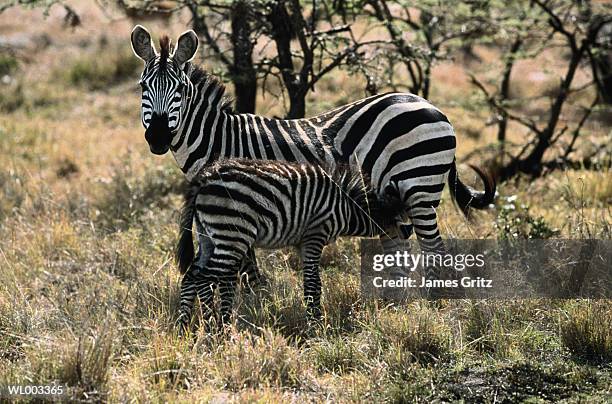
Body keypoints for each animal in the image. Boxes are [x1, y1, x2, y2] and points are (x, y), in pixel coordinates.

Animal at [130, 24, 498, 284]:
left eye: (179, 89)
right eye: (143, 87)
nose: (158, 138)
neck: (218, 138)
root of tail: (431, 106)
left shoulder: (241, 199)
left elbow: (246, 260)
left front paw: (252, 299)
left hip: (418, 186)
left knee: (435, 249)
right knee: (400, 244)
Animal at [172, 159, 404, 330]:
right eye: (400, 217)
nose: (407, 232)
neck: (347, 206)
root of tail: (204, 178)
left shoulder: (302, 243)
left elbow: (312, 282)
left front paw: (315, 319)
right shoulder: (315, 235)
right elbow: (313, 284)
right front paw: (315, 325)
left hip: (208, 236)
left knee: (192, 276)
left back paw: (187, 327)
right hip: (232, 233)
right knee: (204, 278)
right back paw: (214, 327)